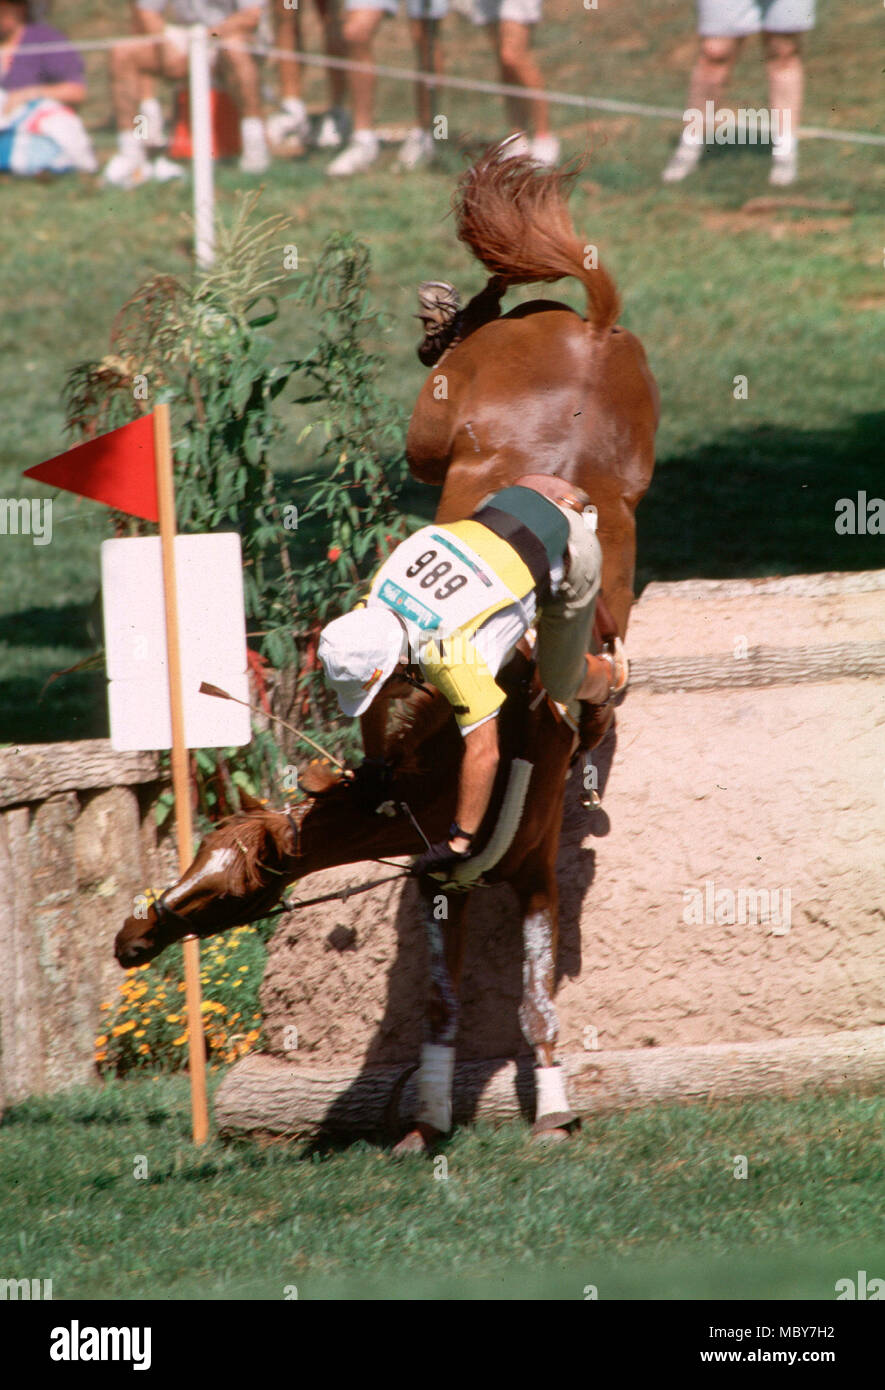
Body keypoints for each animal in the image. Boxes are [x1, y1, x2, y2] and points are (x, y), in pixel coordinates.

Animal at [111, 141, 655, 1145]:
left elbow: (533, 996)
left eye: (223, 889)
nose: (133, 939)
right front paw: (428, 1115)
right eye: (193, 859)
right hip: (456, 435)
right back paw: (457, 305)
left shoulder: (528, 872)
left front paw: (553, 1107)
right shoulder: (447, 879)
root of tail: (593, 330)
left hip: (446, 440)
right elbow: (443, 1000)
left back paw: (451, 313)